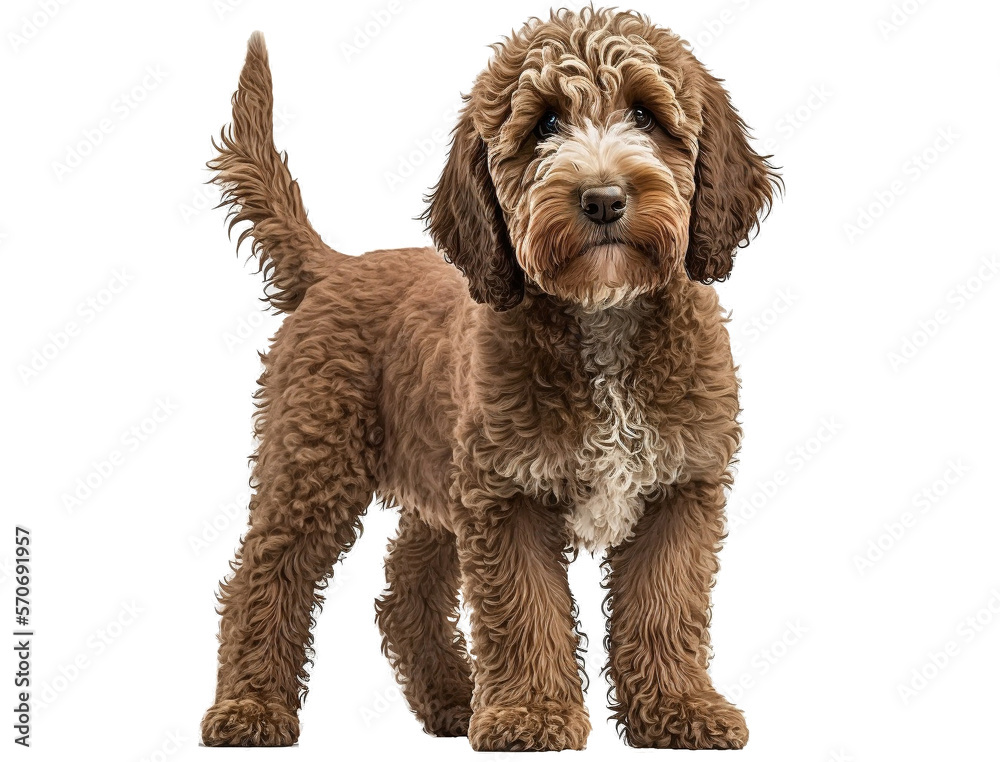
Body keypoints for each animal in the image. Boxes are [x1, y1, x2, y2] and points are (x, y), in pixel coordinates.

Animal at [199, 8, 776, 752]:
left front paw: (681, 708)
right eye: (544, 124)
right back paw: (250, 709)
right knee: (266, 574)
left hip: (437, 477)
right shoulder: (508, 495)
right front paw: (531, 716)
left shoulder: (678, 489)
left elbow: (665, 608)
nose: (603, 200)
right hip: (316, 460)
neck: (604, 318)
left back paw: (453, 698)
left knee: (406, 590)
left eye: (647, 114)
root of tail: (337, 266)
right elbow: (524, 612)